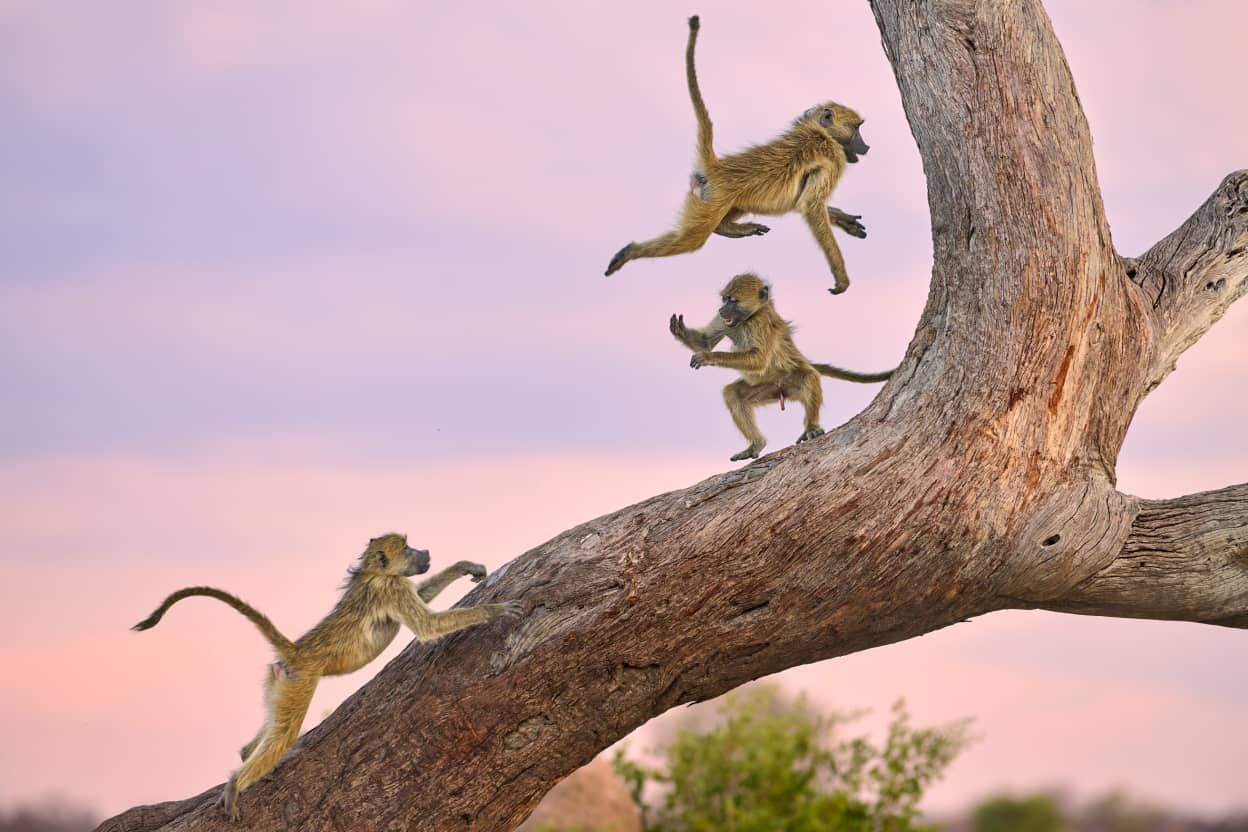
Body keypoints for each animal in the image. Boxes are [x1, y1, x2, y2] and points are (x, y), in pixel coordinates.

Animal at [132, 533, 522, 822]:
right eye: (408, 547)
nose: (426, 552)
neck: (373, 574)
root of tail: (297, 651)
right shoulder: (393, 589)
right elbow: (428, 626)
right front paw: (497, 610)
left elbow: (423, 596)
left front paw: (464, 566)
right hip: (300, 681)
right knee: (284, 734)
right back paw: (236, 785)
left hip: (279, 681)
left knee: (272, 728)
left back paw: (246, 761)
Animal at [605, 15, 871, 295]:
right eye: (857, 129)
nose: (866, 147)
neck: (820, 132)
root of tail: (716, 168)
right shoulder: (833, 160)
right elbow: (810, 206)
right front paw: (841, 278)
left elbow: (803, 203)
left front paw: (843, 219)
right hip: (713, 200)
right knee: (690, 240)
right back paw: (630, 252)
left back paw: (728, 229)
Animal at [671, 273, 892, 460]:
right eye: (725, 299)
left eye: (733, 300)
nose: (721, 310)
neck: (749, 317)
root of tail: (781, 388)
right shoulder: (724, 322)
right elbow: (705, 341)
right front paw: (680, 331)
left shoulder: (760, 323)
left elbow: (758, 360)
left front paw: (707, 356)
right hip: (768, 388)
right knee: (733, 394)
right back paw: (756, 444)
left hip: (792, 378)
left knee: (809, 377)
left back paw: (811, 427)